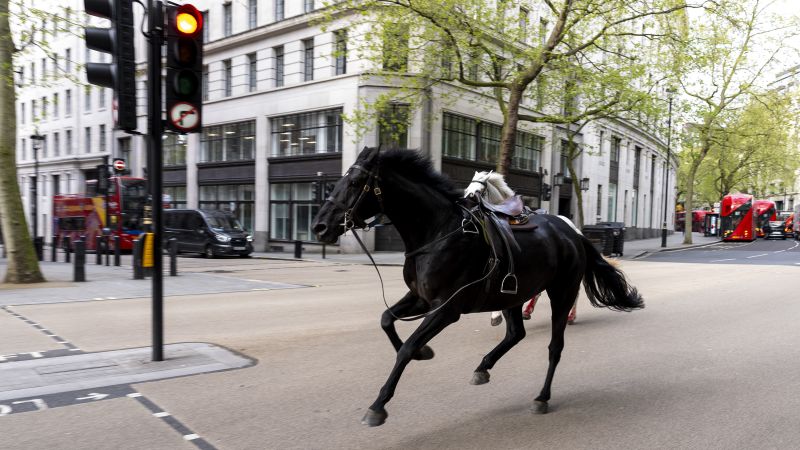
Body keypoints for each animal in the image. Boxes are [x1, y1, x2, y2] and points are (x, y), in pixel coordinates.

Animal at [462, 171, 580, 326]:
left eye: (478, 192)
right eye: (466, 190)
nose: (464, 214)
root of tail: (573, 226)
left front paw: (496, 315)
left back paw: (571, 316)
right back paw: (528, 311)